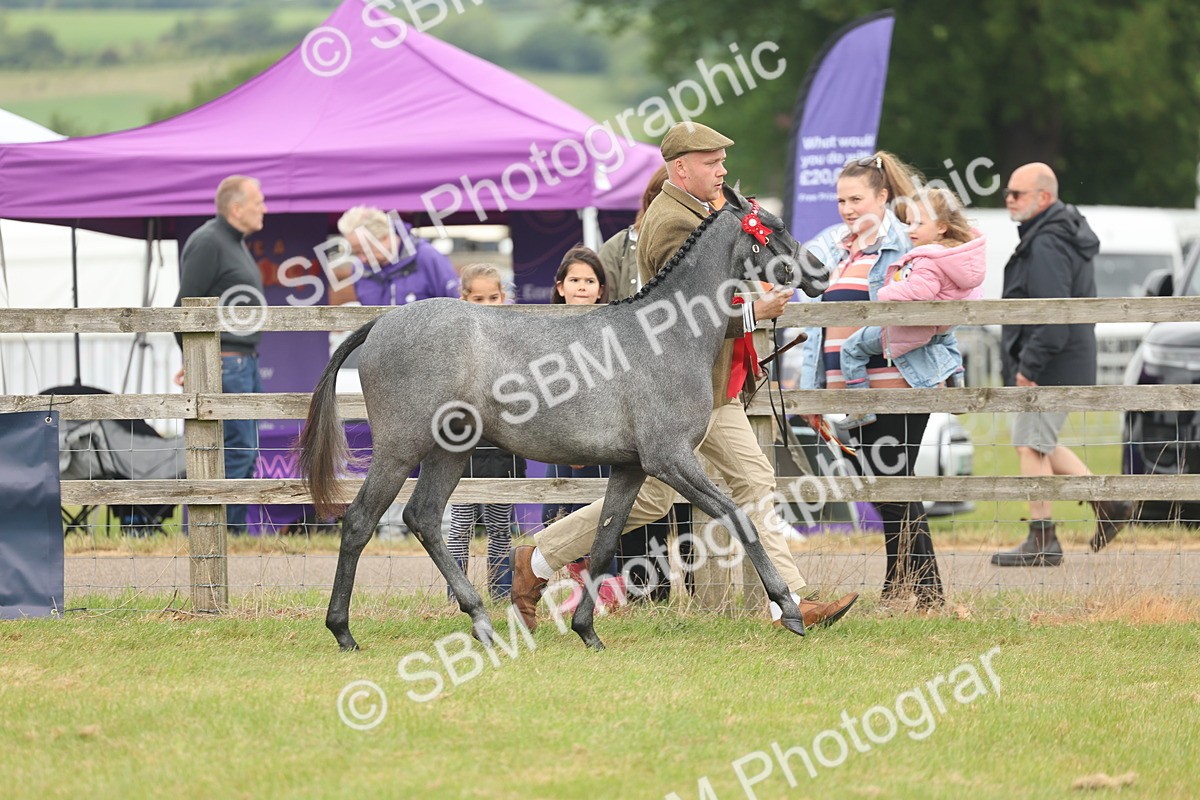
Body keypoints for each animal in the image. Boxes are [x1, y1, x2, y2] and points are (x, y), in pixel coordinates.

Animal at [298, 187, 828, 651]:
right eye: (775, 226)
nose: (820, 273)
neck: (667, 334)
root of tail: (381, 322)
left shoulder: (631, 467)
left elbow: (604, 541)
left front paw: (587, 630)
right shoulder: (670, 459)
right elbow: (738, 517)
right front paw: (790, 609)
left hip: (450, 451)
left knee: (423, 518)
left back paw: (483, 623)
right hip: (400, 447)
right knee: (361, 520)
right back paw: (343, 631)